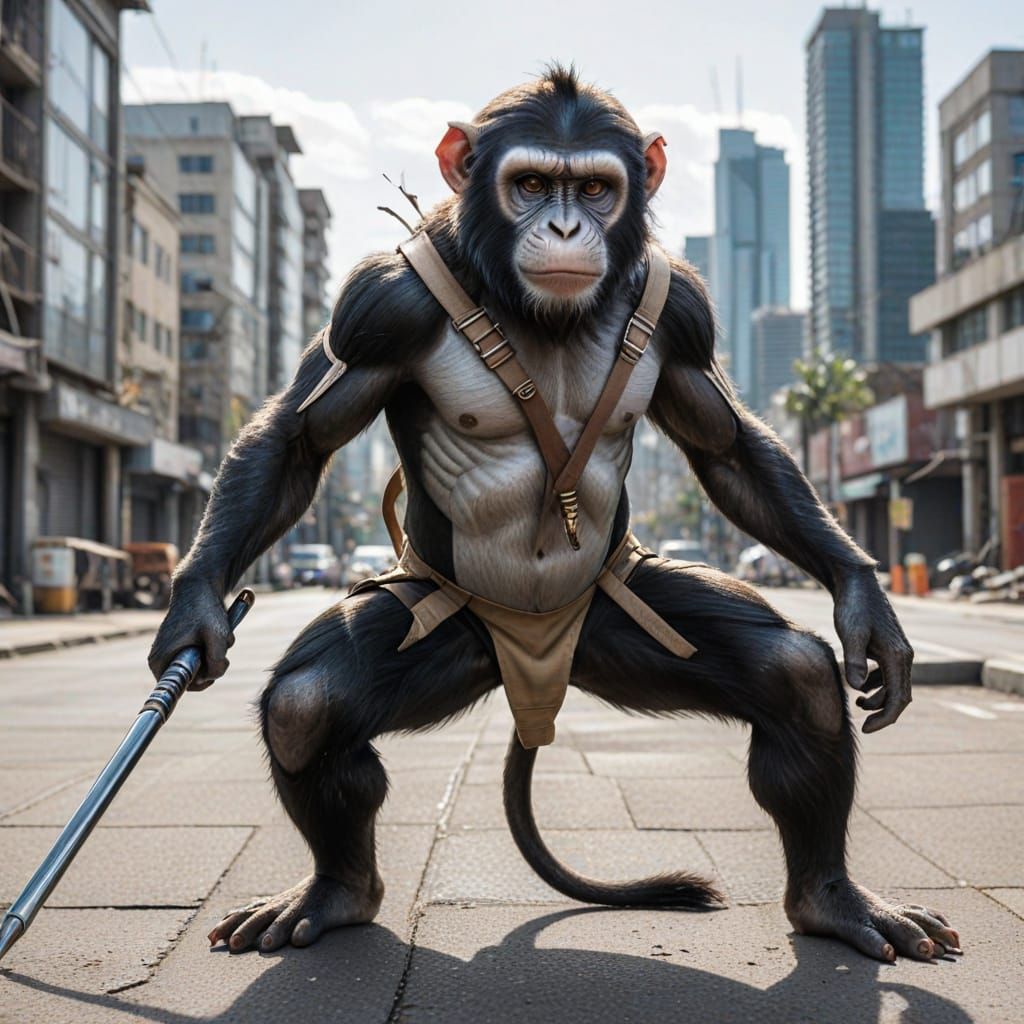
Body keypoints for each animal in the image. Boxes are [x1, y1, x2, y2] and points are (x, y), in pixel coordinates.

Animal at [149, 66, 960, 963]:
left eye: (597, 188)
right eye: (532, 184)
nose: (567, 224)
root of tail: (539, 673)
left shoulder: (686, 314)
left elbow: (726, 445)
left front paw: (863, 599)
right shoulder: (377, 306)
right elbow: (297, 437)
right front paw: (194, 608)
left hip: (615, 612)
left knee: (797, 681)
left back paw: (831, 901)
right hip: (457, 630)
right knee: (307, 708)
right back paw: (337, 892)